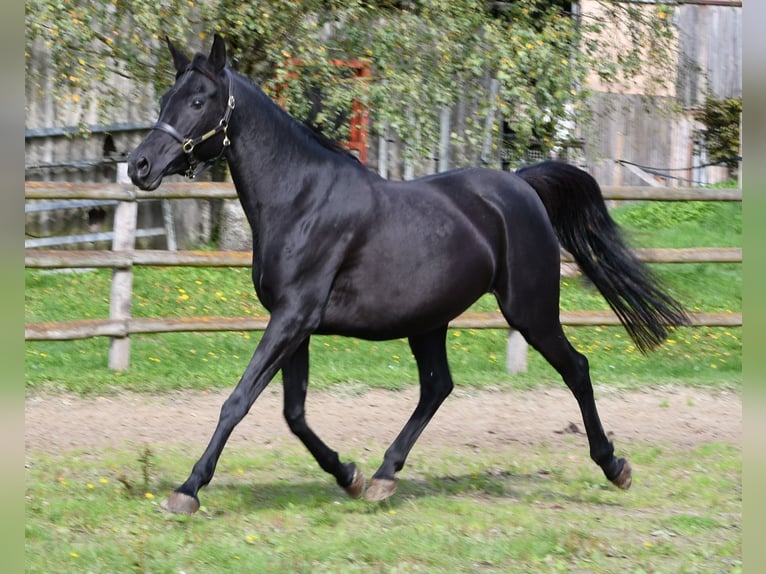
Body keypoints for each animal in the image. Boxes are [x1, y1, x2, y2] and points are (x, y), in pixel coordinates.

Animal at [127, 34, 688, 515]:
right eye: (167, 97)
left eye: (199, 101)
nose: (139, 165)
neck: (300, 199)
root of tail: (522, 185)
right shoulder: (294, 324)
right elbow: (294, 414)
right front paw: (349, 475)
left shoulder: (292, 318)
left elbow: (238, 401)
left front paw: (188, 489)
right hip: (429, 321)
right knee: (438, 387)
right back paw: (383, 475)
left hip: (529, 311)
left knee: (576, 369)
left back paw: (614, 466)